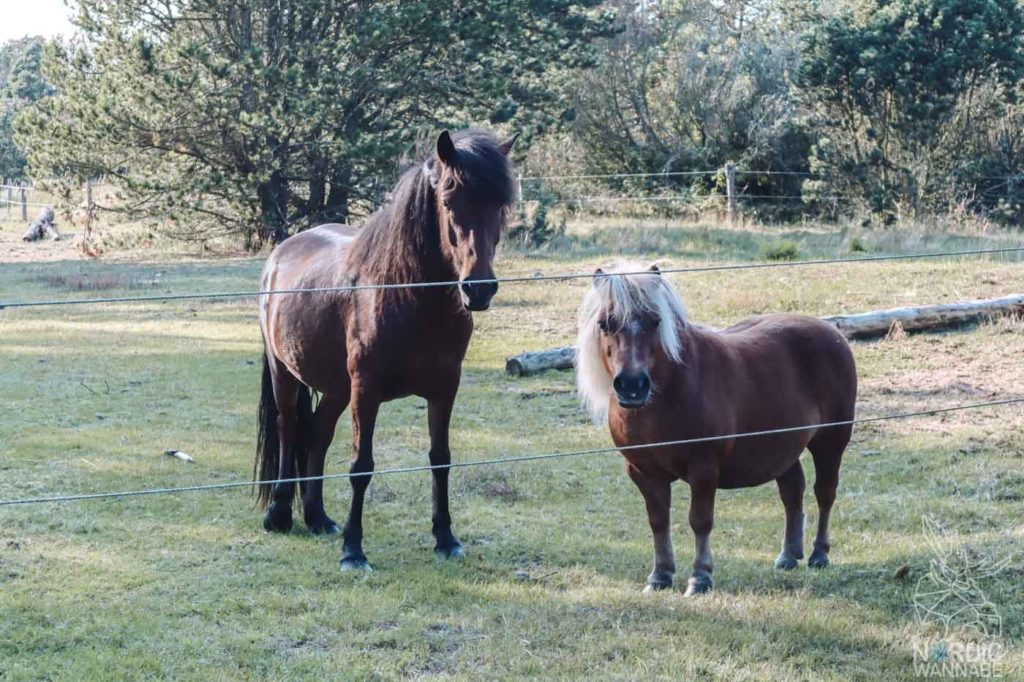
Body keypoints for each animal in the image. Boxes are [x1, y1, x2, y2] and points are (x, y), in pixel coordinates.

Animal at [252, 129, 516, 569]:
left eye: (501, 205)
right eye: (448, 200)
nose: (478, 289)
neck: (407, 295)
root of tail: (280, 254)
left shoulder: (445, 388)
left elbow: (440, 458)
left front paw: (445, 538)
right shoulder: (367, 389)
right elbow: (361, 465)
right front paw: (353, 550)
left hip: (337, 388)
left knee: (317, 433)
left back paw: (318, 516)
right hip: (285, 373)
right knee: (289, 428)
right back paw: (280, 513)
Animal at [577, 262, 856, 593]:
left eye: (655, 321)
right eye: (605, 323)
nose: (632, 386)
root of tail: (831, 331)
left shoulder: (704, 468)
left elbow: (700, 520)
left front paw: (700, 577)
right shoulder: (643, 472)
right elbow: (658, 521)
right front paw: (660, 575)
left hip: (831, 441)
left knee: (825, 492)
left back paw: (818, 554)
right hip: (783, 446)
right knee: (792, 491)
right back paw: (788, 555)